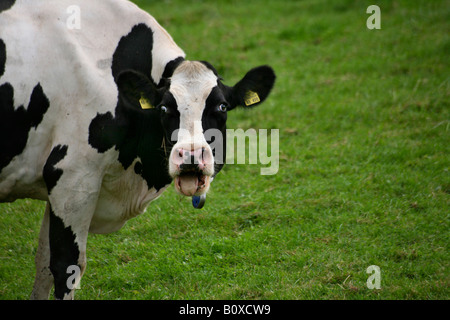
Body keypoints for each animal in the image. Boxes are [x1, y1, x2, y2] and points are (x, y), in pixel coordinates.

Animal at [0, 0, 274, 300]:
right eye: (164, 108)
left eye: (222, 106)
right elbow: (65, 266)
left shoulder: (59, 187)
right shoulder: (73, 177)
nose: (190, 156)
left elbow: (43, 264)